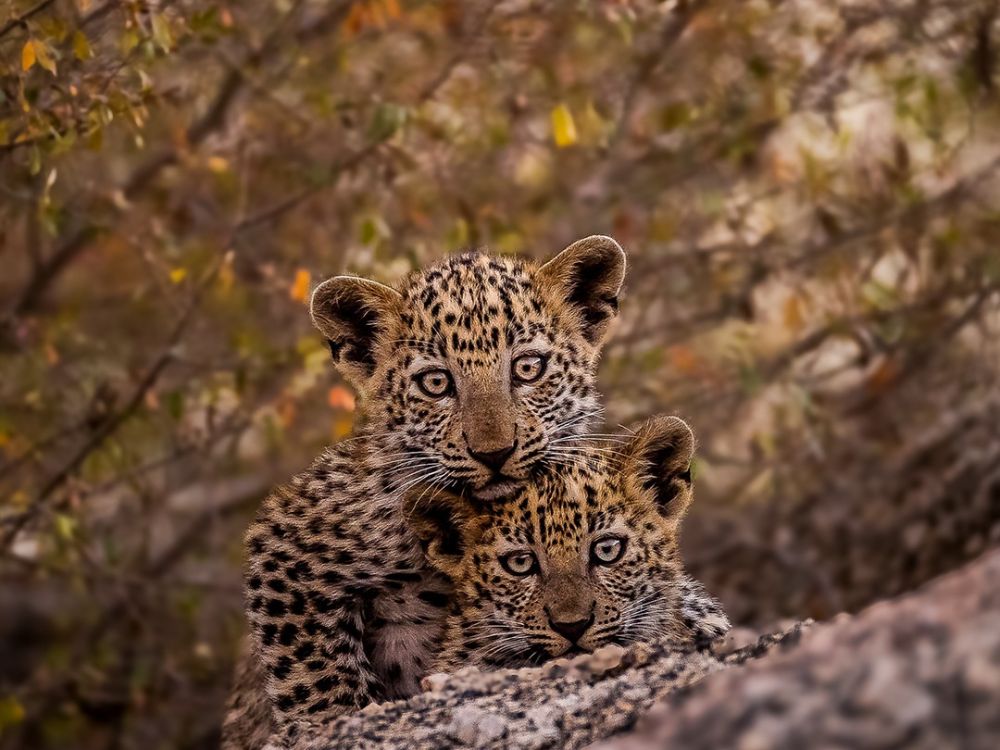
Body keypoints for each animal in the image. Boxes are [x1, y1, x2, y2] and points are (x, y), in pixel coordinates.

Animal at [221, 236, 628, 748]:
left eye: (528, 368)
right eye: (436, 383)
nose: (494, 453)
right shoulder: (283, 546)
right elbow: (313, 675)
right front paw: (329, 723)